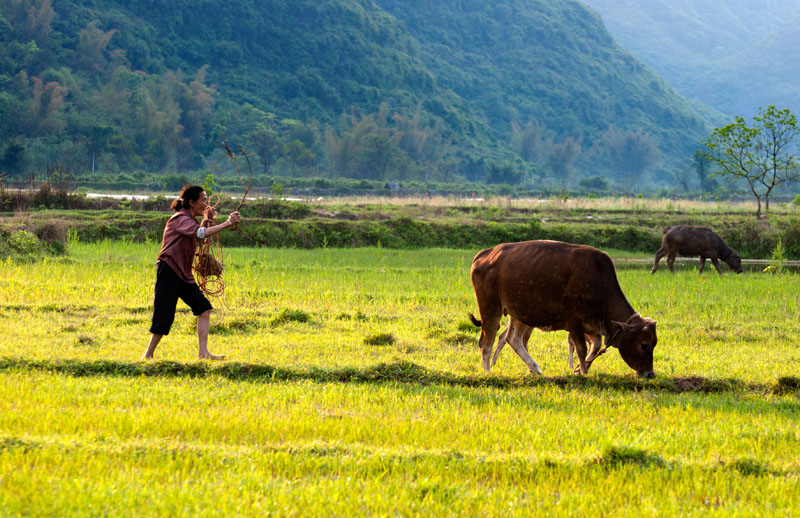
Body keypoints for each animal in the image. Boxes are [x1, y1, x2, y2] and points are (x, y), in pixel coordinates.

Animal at [468, 242, 656, 380]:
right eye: (644, 345)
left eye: (654, 343)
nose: (650, 374)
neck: (601, 284)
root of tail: (485, 254)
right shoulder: (574, 322)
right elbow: (581, 348)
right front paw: (584, 373)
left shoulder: (592, 327)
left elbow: (595, 348)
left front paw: (581, 369)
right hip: (490, 308)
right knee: (487, 342)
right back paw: (487, 371)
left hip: (520, 314)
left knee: (513, 339)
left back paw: (534, 368)